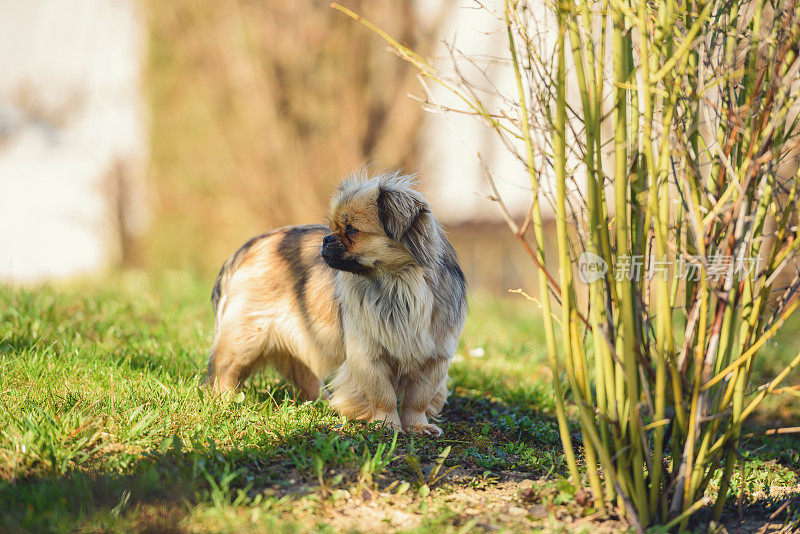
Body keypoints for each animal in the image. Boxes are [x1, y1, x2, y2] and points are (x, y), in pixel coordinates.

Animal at [208, 171, 468, 436]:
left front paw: (417, 426)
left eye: (351, 229)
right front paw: (386, 425)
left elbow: (418, 399)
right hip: (245, 340)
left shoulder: (433, 360)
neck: (397, 286)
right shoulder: (368, 357)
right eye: (334, 227)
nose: (326, 239)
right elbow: (383, 395)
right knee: (223, 370)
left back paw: (324, 404)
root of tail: (247, 248)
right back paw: (224, 400)